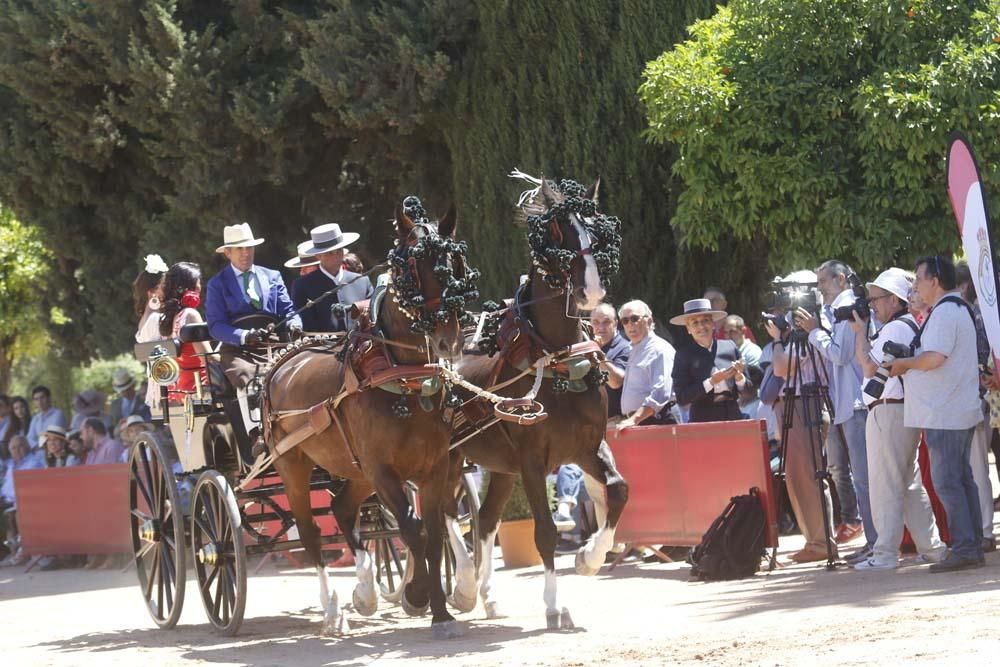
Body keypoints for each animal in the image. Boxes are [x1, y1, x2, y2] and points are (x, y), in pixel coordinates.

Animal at [266, 201, 476, 640]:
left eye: (457, 263)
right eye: (413, 267)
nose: (449, 340)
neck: (403, 377)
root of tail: (282, 361)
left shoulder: (434, 466)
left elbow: (433, 535)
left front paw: (440, 612)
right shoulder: (383, 470)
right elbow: (413, 530)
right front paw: (417, 595)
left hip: (355, 469)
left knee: (343, 508)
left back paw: (364, 592)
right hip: (294, 466)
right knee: (311, 533)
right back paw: (331, 611)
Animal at [450, 175, 628, 628]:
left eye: (595, 231)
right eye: (557, 234)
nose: (592, 290)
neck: (554, 357)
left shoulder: (586, 447)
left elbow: (619, 490)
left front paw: (589, 557)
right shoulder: (532, 458)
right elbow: (544, 531)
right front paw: (553, 604)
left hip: (499, 465)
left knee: (485, 520)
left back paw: (488, 594)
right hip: (445, 458)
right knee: (441, 516)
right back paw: (463, 586)